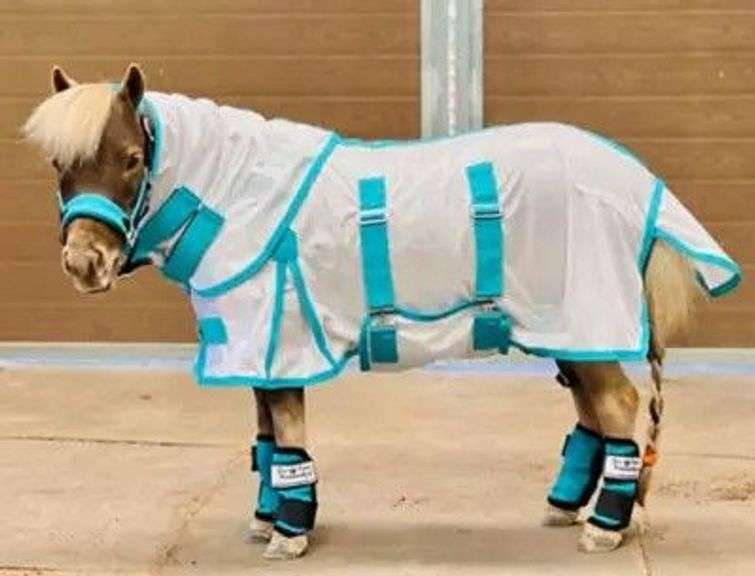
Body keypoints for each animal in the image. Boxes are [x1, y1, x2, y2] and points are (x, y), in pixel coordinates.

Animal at [23, 64, 740, 560]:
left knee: (617, 404)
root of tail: (638, 184)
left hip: (583, 309)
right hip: (566, 324)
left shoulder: (281, 338)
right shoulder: (256, 344)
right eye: (58, 162)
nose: (85, 264)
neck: (237, 194)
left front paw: (290, 532)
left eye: (131, 159)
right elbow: (264, 433)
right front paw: (266, 519)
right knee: (593, 408)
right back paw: (567, 508)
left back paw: (603, 528)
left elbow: (285, 430)